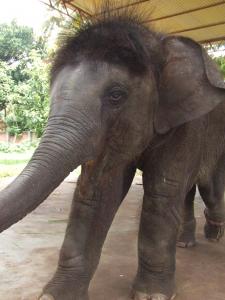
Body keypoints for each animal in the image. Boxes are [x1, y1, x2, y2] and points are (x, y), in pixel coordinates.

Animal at [0, 6, 225, 300]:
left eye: (116, 95)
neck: (155, 43)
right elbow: (97, 191)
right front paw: (56, 295)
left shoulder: (186, 123)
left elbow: (161, 192)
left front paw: (151, 296)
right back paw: (185, 243)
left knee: (208, 186)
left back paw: (213, 233)